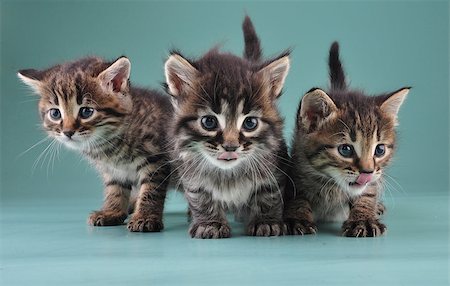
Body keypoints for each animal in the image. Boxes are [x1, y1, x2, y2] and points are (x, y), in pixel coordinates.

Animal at [18, 56, 172, 232]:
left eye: (86, 112)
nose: (67, 132)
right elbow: (115, 189)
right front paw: (112, 212)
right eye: (55, 113)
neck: (109, 144)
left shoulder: (156, 160)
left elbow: (151, 189)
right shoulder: (113, 170)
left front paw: (145, 216)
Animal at [165, 16, 292, 239]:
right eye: (209, 122)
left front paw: (266, 221)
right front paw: (210, 223)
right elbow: (200, 196)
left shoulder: (275, 165)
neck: (228, 174)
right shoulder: (189, 172)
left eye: (250, 123)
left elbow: (270, 194)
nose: (231, 146)